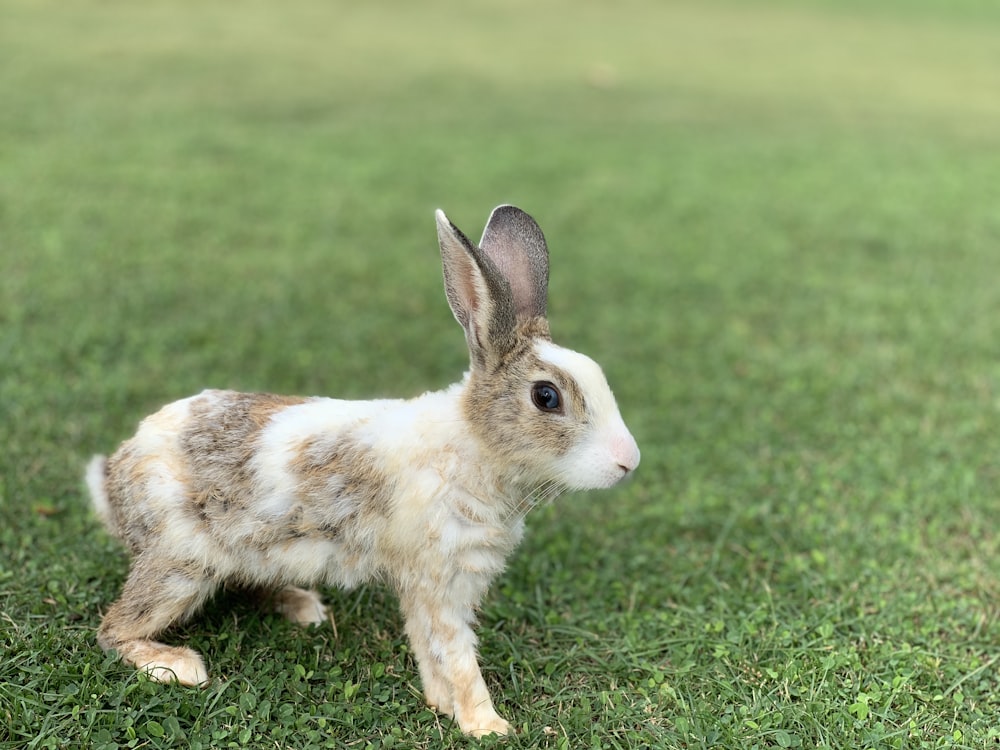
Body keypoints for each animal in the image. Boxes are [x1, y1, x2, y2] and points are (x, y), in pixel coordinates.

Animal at [86, 206, 640, 740]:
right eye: (546, 397)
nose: (628, 462)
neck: (473, 446)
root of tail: (113, 481)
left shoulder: (428, 584)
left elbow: (428, 646)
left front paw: (442, 705)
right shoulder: (439, 579)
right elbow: (457, 655)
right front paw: (487, 726)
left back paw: (304, 608)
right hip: (180, 567)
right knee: (114, 630)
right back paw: (178, 666)